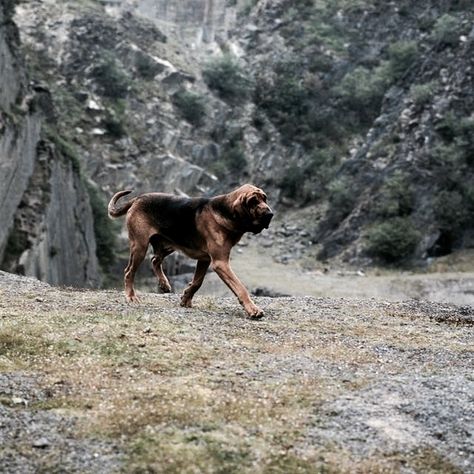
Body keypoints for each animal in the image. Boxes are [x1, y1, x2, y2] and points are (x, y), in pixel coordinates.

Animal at [106, 184, 272, 318]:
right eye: (253, 201)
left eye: (265, 198)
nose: (270, 214)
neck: (226, 212)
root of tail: (137, 199)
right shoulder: (220, 263)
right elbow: (240, 288)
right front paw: (253, 309)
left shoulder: (205, 260)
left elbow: (197, 282)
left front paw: (186, 298)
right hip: (140, 246)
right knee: (129, 271)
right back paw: (131, 296)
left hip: (167, 246)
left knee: (155, 260)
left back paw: (164, 284)